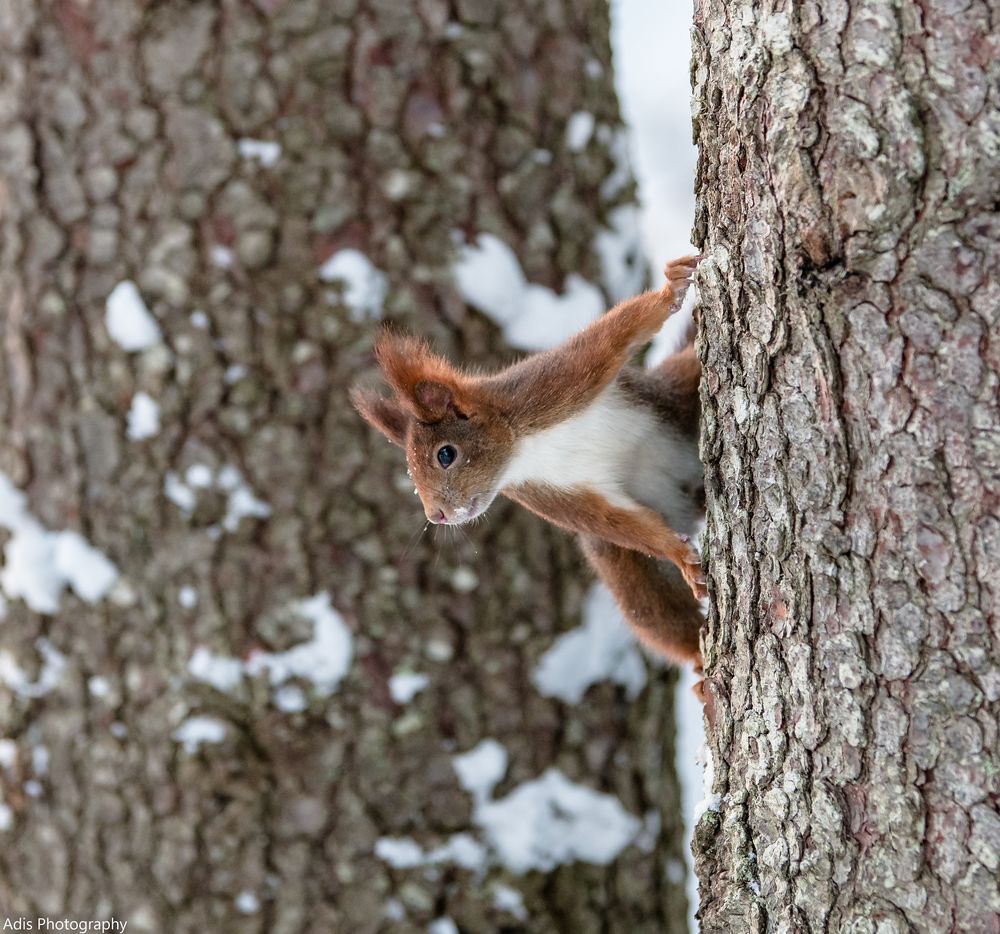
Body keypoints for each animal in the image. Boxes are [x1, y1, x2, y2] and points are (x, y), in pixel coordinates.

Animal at [350, 258, 704, 672]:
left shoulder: (549, 387)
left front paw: (669, 291)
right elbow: (614, 521)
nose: (435, 515)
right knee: (659, 616)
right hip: (627, 570)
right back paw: (701, 665)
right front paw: (677, 552)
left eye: (445, 454)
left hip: (676, 395)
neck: (525, 451)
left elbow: (611, 338)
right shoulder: (548, 494)